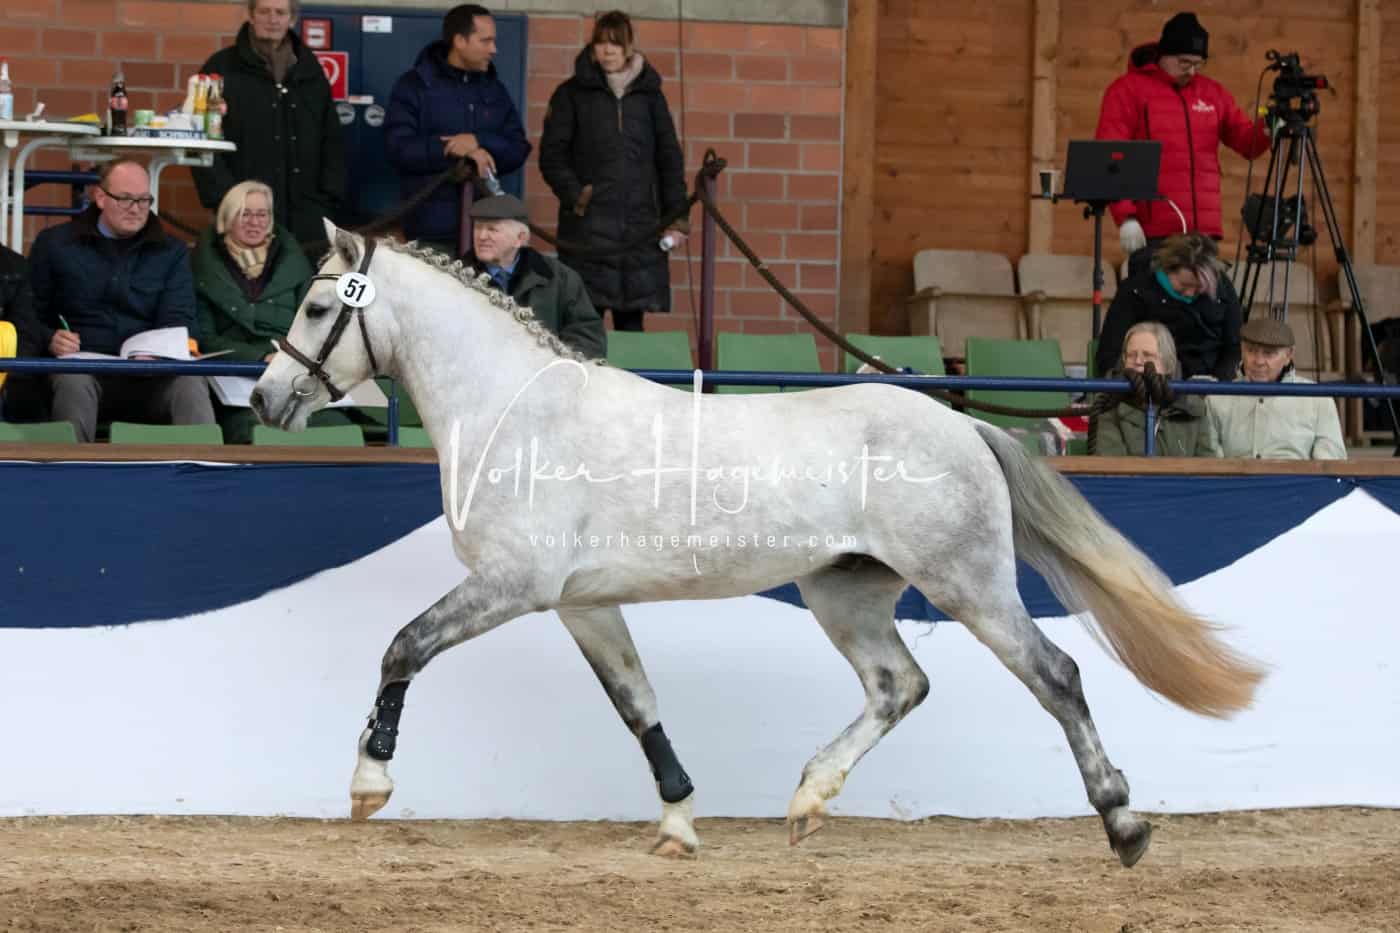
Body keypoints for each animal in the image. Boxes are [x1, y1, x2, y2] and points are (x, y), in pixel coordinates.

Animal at [250, 221, 1266, 866]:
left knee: (1056, 675)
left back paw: (1124, 825)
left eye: (315, 309)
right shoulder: (583, 602)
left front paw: (368, 782)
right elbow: (637, 703)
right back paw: (810, 800)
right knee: (900, 685)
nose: (264, 397)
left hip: (969, 584)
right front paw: (679, 821)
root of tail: (965, 425)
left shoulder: (514, 585)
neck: (515, 413)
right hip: (845, 592)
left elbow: (404, 645)